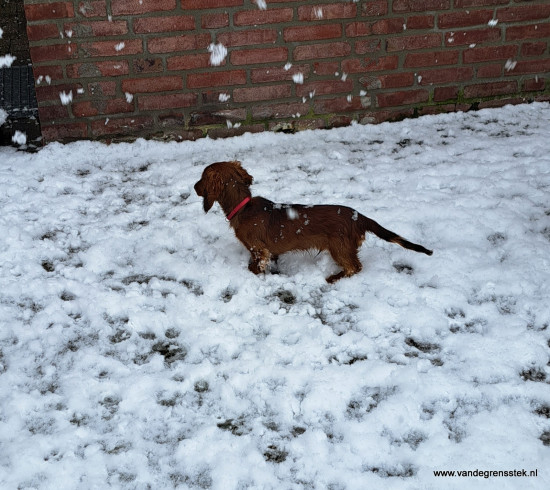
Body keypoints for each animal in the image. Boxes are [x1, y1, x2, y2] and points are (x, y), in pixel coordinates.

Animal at [195, 161, 436, 284]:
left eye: (201, 178)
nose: (194, 187)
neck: (243, 206)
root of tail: (359, 216)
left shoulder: (258, 248)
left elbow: (255, 265)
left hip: (339, 247)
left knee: (355, 267)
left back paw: (334, 278)